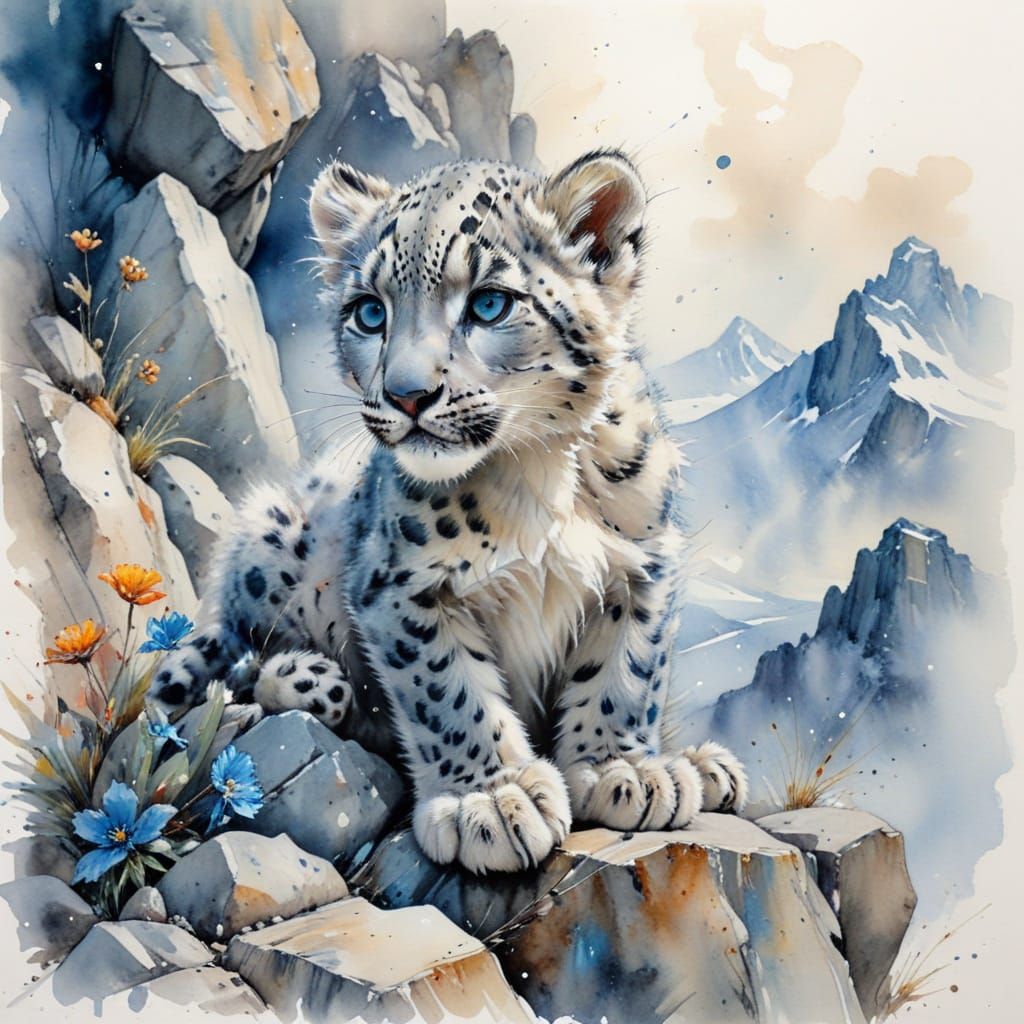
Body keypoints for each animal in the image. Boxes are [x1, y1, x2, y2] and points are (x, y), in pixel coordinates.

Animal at [152, 149, 748, 874]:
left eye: (490, 303)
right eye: (369, 313)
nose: (407, 395)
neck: (538, 474)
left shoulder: (644, 561)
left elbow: (627, 667)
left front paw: (620, 769)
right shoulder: (399, 587)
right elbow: (447, 692)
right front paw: (488, 802)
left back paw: (707, 768)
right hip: (273, 539)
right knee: (239, 657)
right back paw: (305, 679)